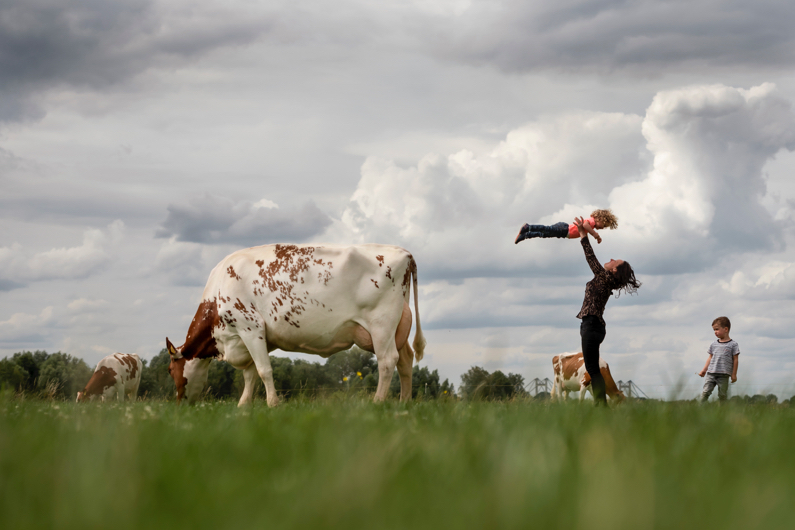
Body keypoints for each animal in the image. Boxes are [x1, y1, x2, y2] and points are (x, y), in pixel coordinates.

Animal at [166, 243, 426, 404]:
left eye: (169, 370)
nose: (179, 405)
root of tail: (405, 253)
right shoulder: (251, 338)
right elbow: (251, 374)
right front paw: (243, 406)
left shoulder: (249, 326)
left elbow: (264, 370)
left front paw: (273, 403)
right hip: (397, 326)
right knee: (405, 360)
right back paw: (403, 403)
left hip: (381, 324)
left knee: (387, 361)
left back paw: (378, 402)